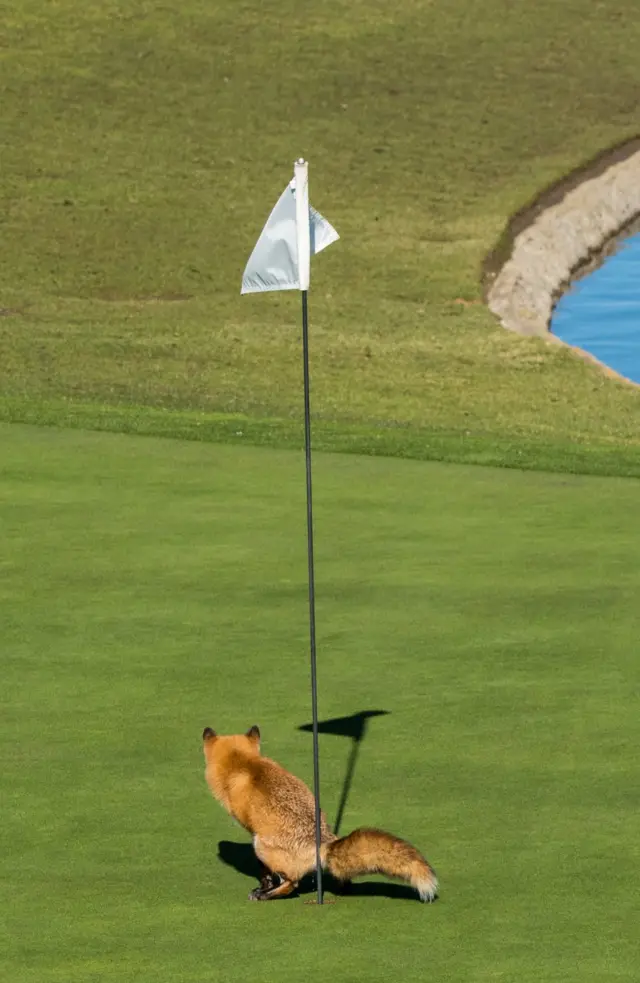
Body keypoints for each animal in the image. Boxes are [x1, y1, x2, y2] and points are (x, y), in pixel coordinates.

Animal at [202, 724, 438, 902]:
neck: (244, 763)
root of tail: (324, 844)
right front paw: (264, 884)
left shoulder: (253, 833)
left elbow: (264, 871)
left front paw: (263, 887)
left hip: (262, 846)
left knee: (292, 884)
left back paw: (267, 895)